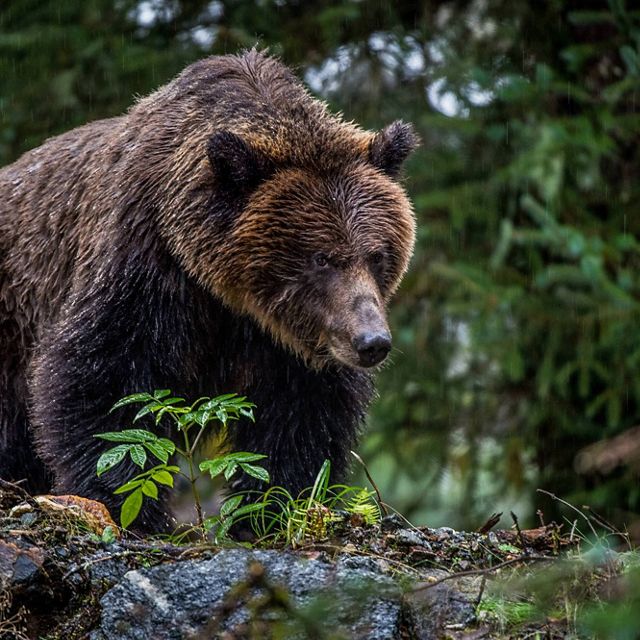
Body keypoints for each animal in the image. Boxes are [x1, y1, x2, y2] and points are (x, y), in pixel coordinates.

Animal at [0, 50, 417, 531]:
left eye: (377, 254)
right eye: (321, 258)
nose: (371, 341)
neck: (229, 292)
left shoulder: (290, 342)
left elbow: (303, 414)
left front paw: (270, 507)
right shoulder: (145, 264)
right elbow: (101, 373)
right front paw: (129, 503)